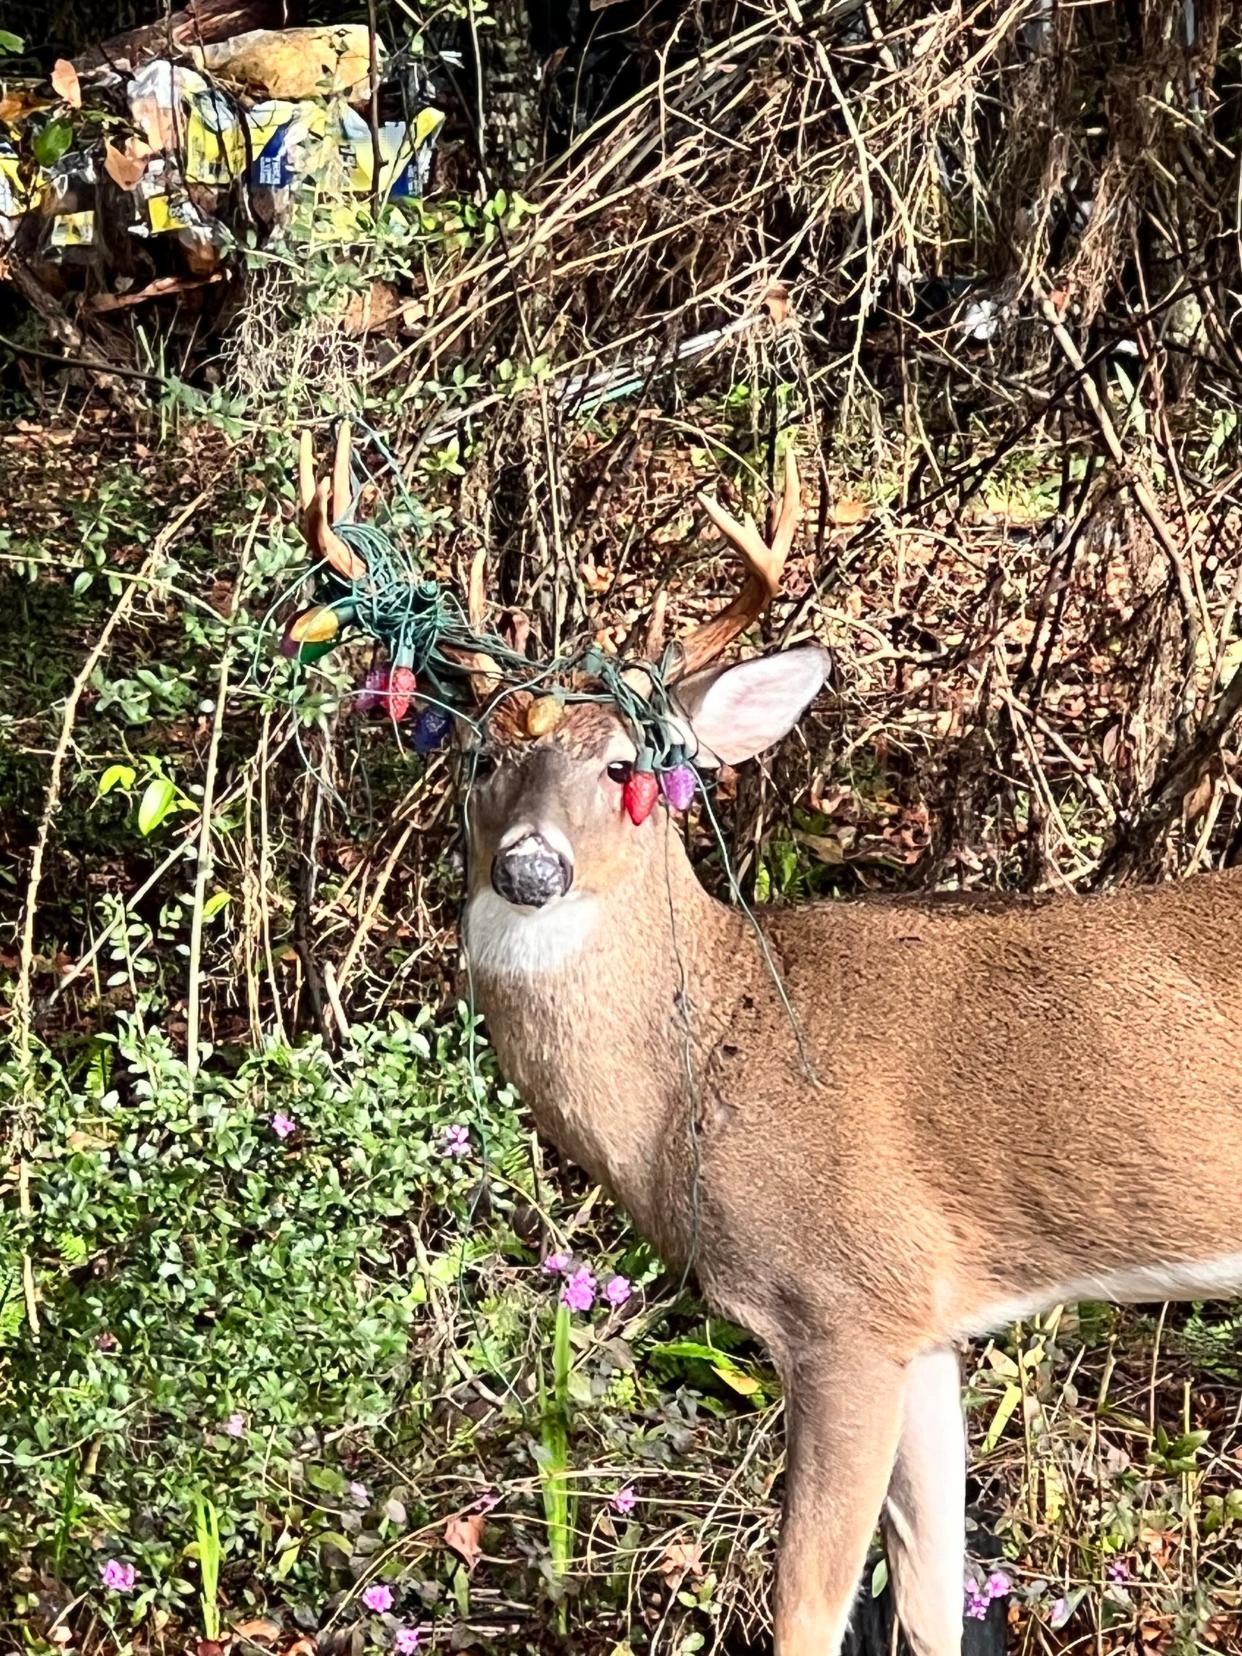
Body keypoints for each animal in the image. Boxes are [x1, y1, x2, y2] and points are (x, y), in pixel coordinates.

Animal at [296, 437, 1242, 1656]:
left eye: (624, 767)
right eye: (480, 759)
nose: (531, 867)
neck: (707, 1064)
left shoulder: (846, 1306)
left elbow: (809, 1603)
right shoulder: (925, 1323)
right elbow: (931, 1596)